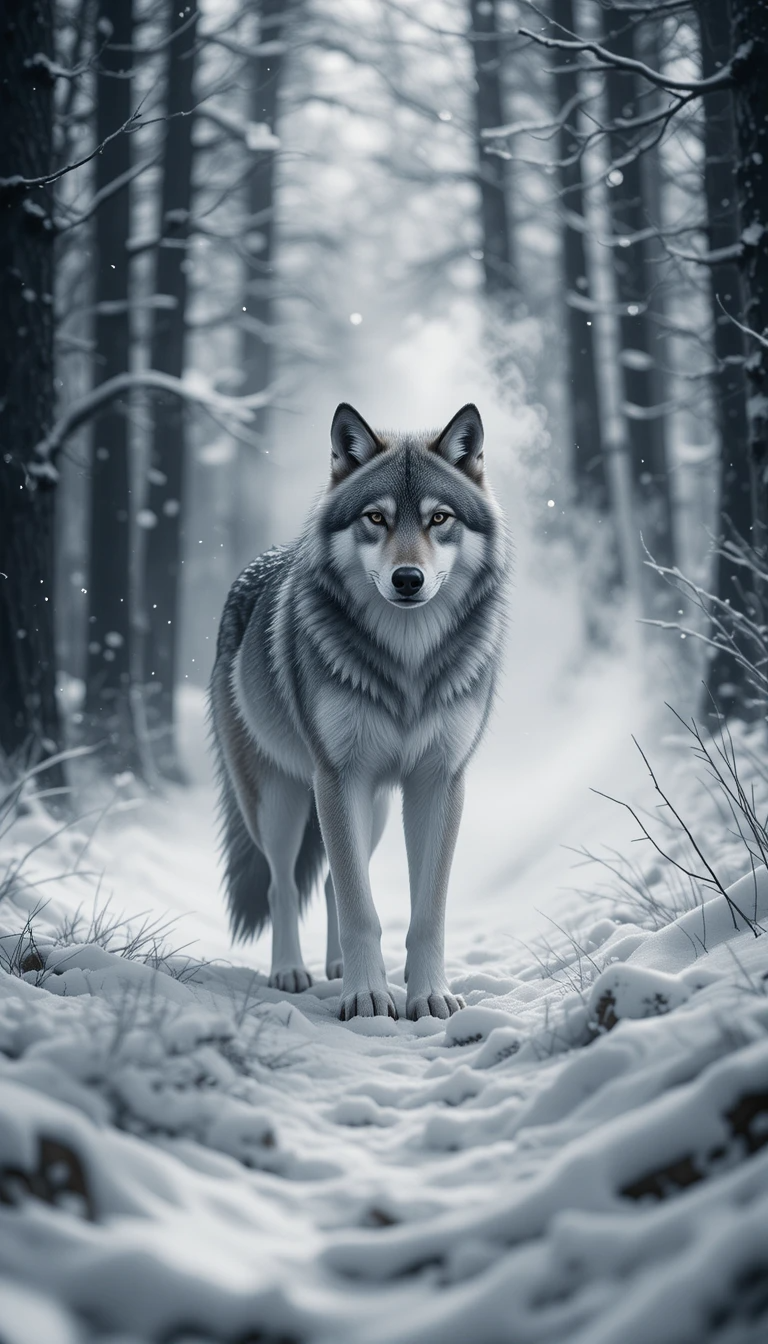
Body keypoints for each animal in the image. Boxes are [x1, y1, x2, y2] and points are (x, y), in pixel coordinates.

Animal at [209, 402, 509, 1020]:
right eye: (376, 517)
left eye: (439, 518)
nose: (408, 579)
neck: (408, 662)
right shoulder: (337, 776)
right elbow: (359, 908)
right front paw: (368, 997)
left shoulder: (438, 782)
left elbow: (424, 911)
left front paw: (429, 995)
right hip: (280, 802)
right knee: (282, 884)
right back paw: (291, 971)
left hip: (372, 806)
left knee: (332, 881)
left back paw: (338, 968)